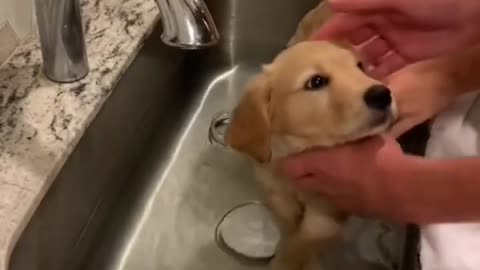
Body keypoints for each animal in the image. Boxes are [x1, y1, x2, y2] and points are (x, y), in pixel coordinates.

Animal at [225, 2, 398, 270]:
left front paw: (293, 260)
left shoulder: (329, 208)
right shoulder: (273, 189)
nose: (383, 94)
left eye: (360, 67)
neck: (299, 148)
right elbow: (289, 225)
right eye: (316, 82)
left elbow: (303, 240)